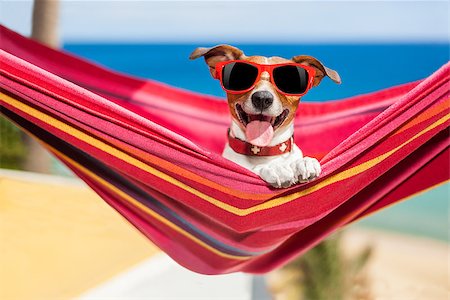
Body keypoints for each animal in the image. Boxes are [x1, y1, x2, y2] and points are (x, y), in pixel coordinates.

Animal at [190, 44, 342, 188]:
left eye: (288, 79)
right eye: (241, 76)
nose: (262, 98)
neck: (263, 151)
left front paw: (304, 162)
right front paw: (275, 169)